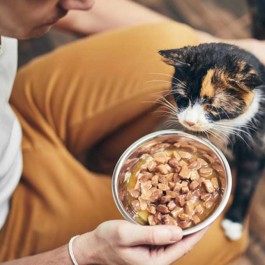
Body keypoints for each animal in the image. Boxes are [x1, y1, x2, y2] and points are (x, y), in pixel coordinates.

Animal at [157, 41, 264, 239]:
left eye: (212, 106)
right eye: (183, 98)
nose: (189, 121)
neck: (225, 126)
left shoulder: (257, 149)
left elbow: (247, 183)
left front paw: (234, 221)